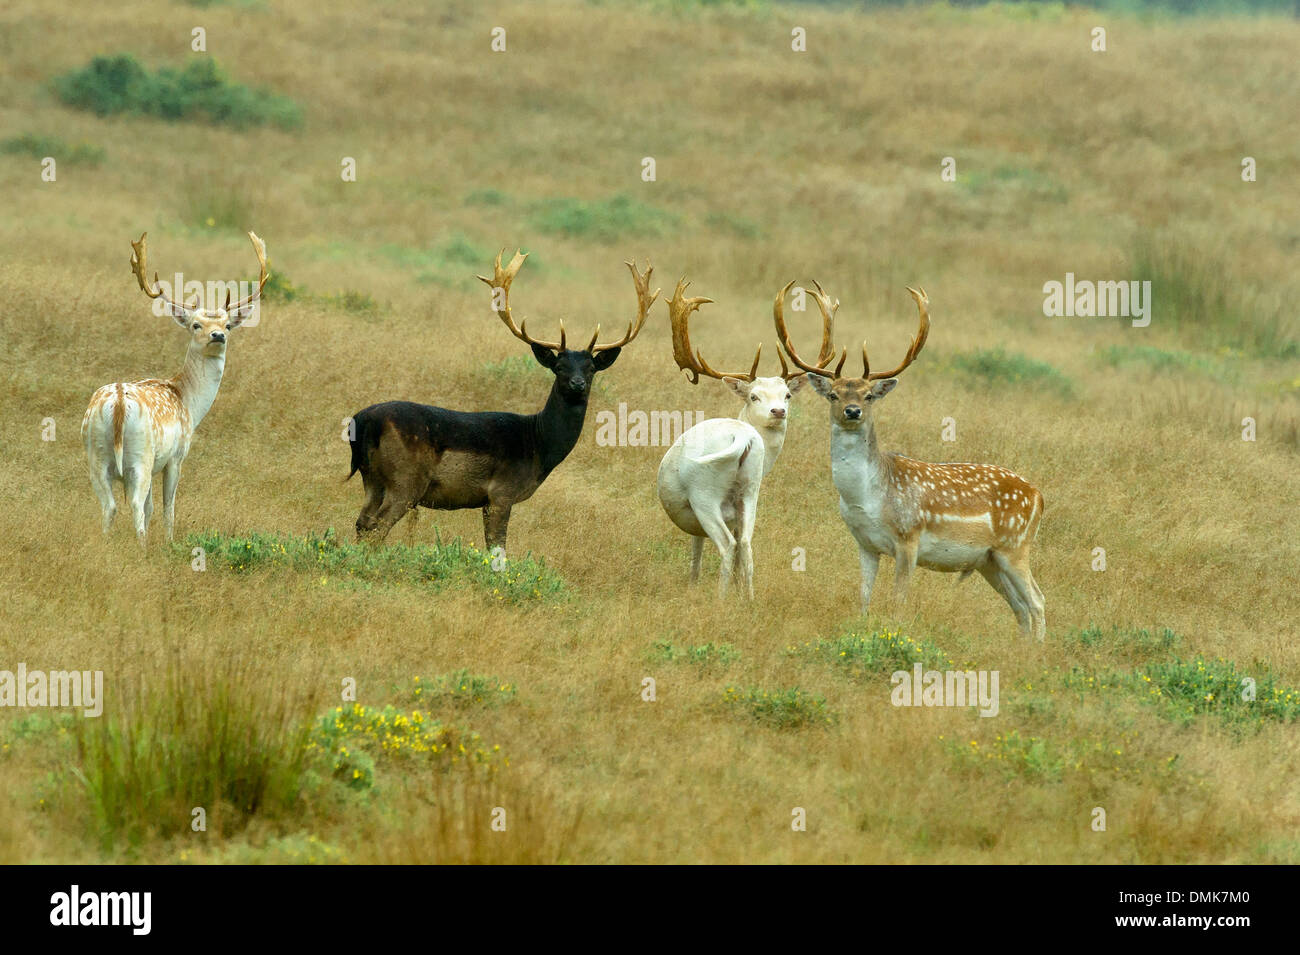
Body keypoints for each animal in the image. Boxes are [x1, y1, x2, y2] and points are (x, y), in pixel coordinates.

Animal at [81, 227, 269, 548]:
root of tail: (117, 405)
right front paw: (169, 541)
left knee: (110, 505)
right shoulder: (176, 456)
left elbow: (151, 507)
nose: (217, 335)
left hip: (96, 454)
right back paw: (142, 547)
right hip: (140, 456)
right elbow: (167, 507)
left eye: (227, 326)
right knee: (133, 504)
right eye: (195, 325)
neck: (187, 399)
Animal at [348, 250, 660, 556]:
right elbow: (497, 548)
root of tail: (364, 421)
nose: (577, 384)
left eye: (591, 369)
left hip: (371, 478)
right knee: (377, 527)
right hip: (405, 479)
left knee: (362, 522)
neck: (538, 446)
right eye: (559, 367)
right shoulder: (501, 493)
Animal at [655, 276, 837, 597]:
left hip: (703, 493)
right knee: (746, 545)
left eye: (787, 394)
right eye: (754, 396)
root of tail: (741, 438)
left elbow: (696, 553)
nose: (778, 411)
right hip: (751, 490)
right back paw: (748, 599)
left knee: (728, 545)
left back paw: (721, 599)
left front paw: (693, 585)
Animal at [769, 283, 1045, 641]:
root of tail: (1039, 496)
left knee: (1037, 601)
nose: (852, 411)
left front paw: (893, 634)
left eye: (868, 395)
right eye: (834, 395)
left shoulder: (909, 539)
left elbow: (897, 602)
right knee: (1020, 607)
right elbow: (864, 597)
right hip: (990, 560)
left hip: (1016, 546)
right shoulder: (864, 543)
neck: (869, 498)